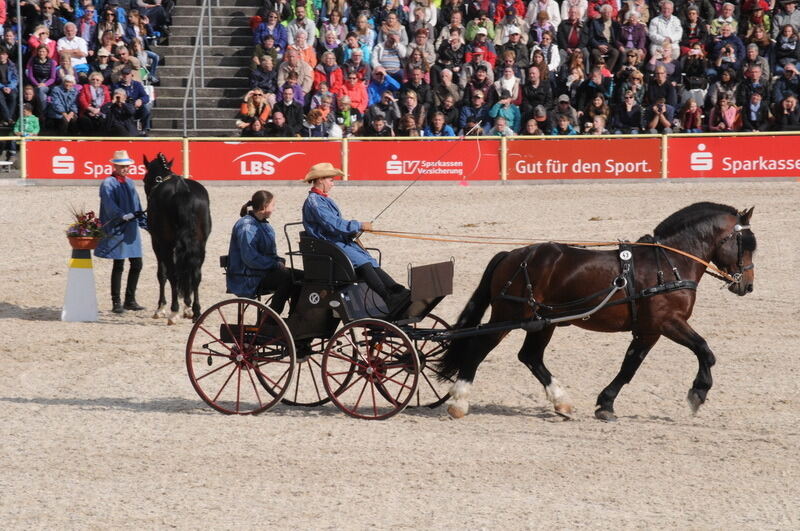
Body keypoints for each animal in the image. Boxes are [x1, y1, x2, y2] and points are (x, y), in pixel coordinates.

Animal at [144, 154, 211, 326]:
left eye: (144, 178)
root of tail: (182, 190)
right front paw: (187, 308)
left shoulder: (157, 243)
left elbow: (162, 274)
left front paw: (161, 308)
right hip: (200, 245)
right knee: (195, 274)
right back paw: (196, 312)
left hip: (166, 245)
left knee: (173, 274)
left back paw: (173, 312)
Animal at [438, 204, 756, 424]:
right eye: (746, 244)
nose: (747, 285)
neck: (669, 264)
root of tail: (512, 255)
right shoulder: (667, 323)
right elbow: (704, 350)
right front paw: (698, 393)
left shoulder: (648, 330)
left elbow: (629, 367)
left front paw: (606, 404)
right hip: (508, 316)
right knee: (479, 348)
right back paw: (459, 402)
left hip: (542, 322)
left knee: (530, 356)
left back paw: (562, 403)